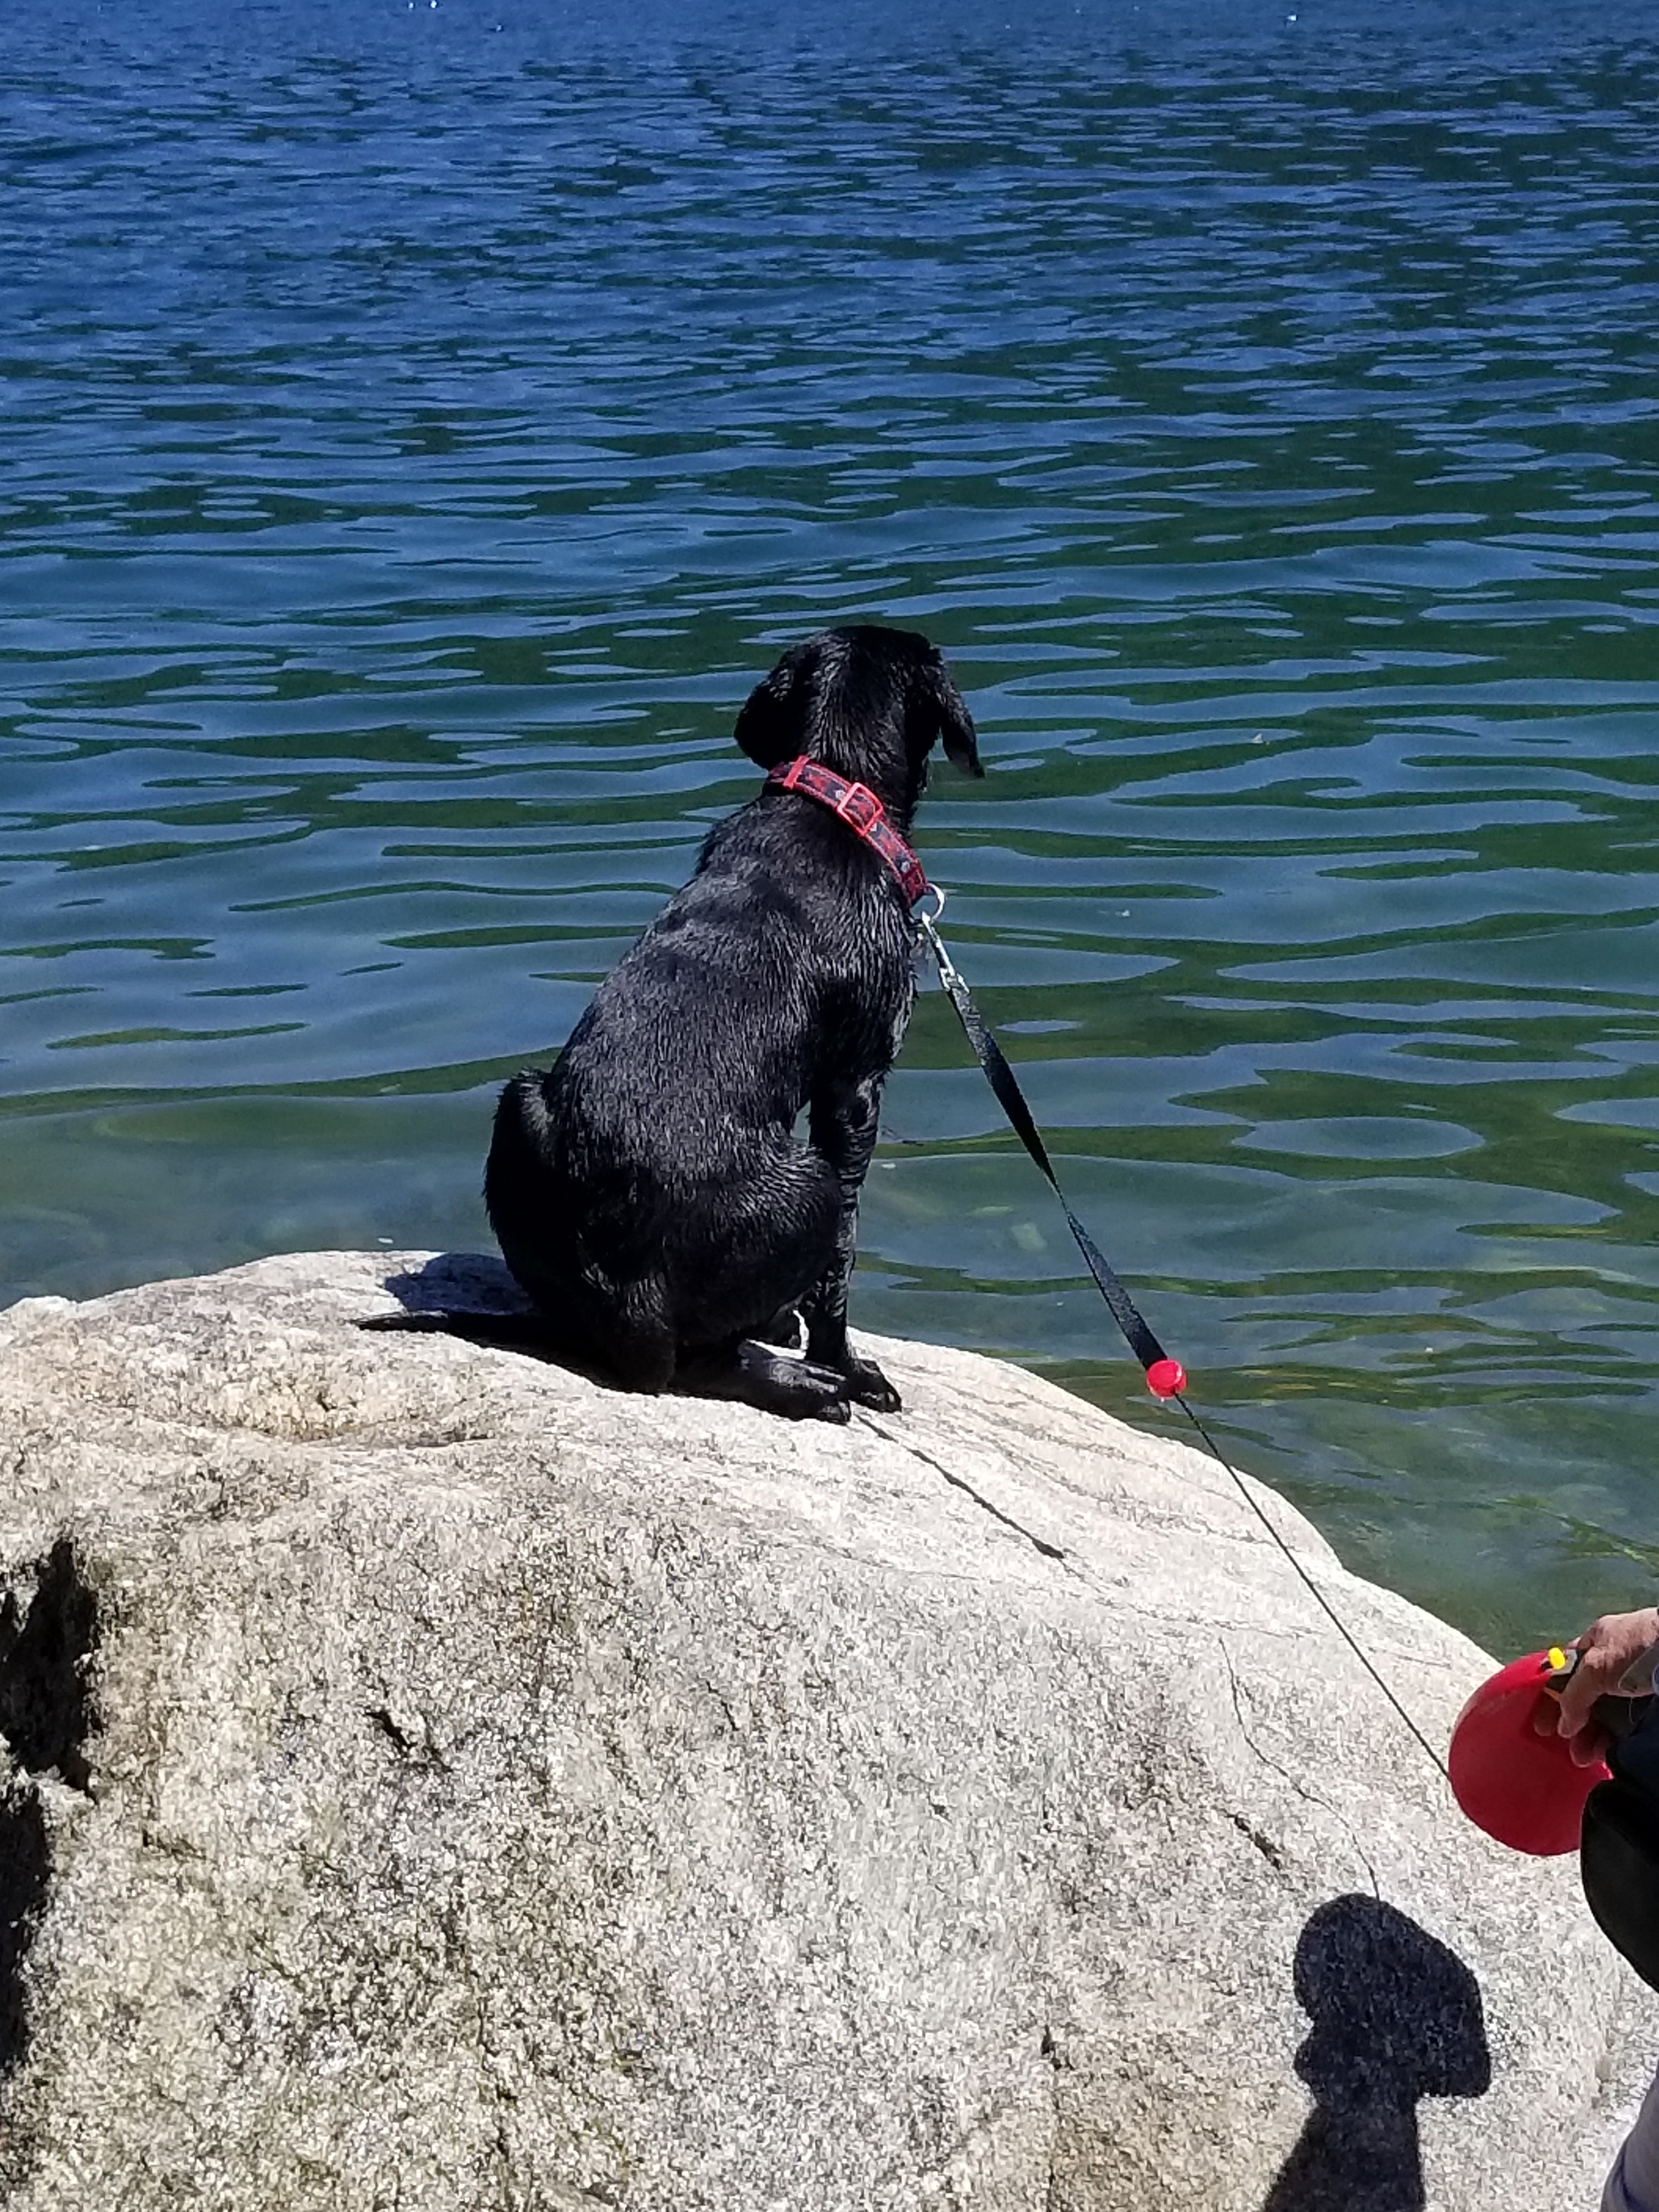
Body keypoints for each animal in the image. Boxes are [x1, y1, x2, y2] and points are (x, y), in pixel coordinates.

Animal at [482, 624, 981, 1421]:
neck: (833, 796)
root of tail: (633, 1297)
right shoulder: (856, 1086)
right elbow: (840, 1265)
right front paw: (848, 1365)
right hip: (806, 1183)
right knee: (702, 1361)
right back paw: (805, 1382)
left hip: (520, 1103)